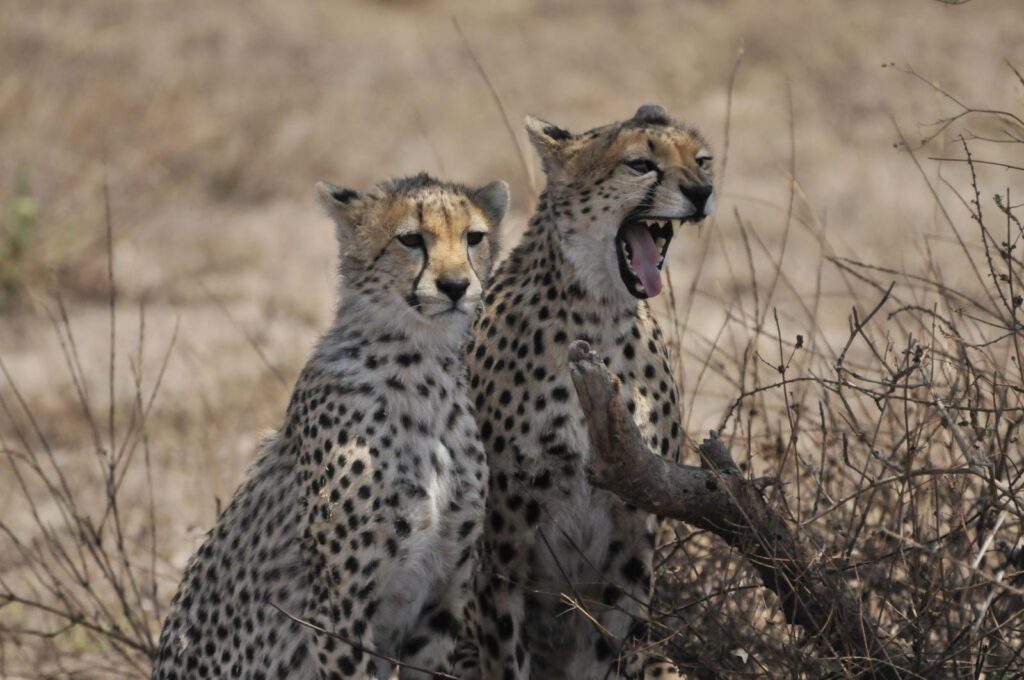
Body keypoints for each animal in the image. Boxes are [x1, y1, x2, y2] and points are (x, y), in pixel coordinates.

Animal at [151, 172, 509, 680]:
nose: (457, 285)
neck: (421, 369)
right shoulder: (337, 608)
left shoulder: (441, 600)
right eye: (411, 239)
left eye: (473, 237)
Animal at [463, 104, 714, 679]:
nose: (703, 192)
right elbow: (505, 656)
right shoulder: (499, 555)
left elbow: (613, 648)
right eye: (641, 164)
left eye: (702, 160)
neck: (595, 316)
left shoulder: (634, 542)